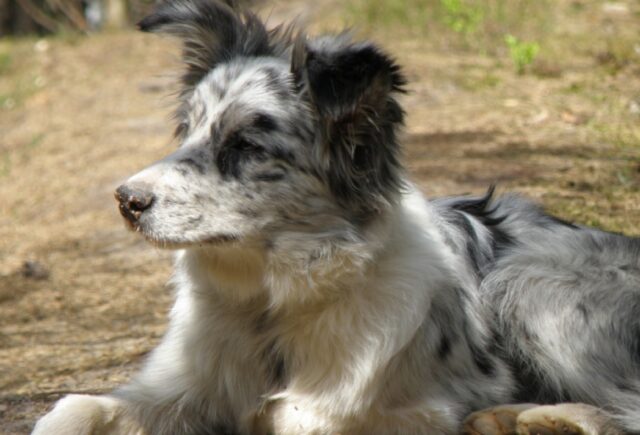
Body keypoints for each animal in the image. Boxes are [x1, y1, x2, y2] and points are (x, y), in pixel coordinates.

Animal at [32, 0, 640, 435]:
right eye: (188, 130)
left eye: (247, 146)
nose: (126, 200)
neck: (269, 312)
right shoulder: (178, 387)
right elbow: (74, 409)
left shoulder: (410, 410)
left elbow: (298, 416)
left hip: (527, 283)